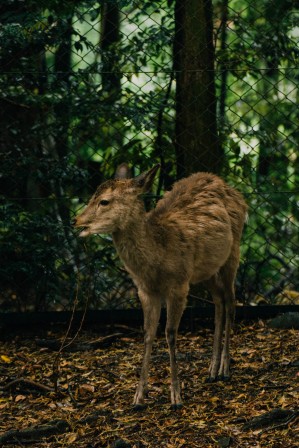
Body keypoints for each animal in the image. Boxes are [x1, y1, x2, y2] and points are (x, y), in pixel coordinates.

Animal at [74, 165, 248, 410]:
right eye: (93, 195)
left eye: (104, 201)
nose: (76, 220)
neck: (157, 259)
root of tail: (236, 193)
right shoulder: (145, 291)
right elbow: (148, 334)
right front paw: (138, 397)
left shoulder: (179, 285)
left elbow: (170, 333)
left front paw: (176, 397)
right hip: (206, 269)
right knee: (219, 303)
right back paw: (211, 371)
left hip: (233, 252)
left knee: (231, 302)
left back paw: (224, 369)